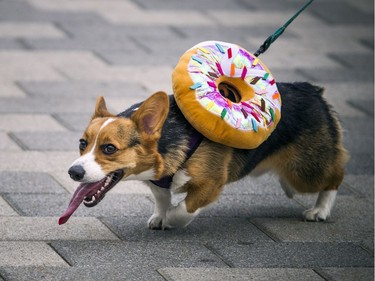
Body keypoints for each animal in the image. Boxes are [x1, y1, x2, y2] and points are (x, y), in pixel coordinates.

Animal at [58, 82, 350, 229]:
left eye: (109, 148)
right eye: (83, 143)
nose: (74, 172)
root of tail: (313, 91)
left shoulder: (211, 183)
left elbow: (184, 208)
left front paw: (170, 219)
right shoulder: (158, 182)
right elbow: (162, 197)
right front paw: (159, 215)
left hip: (305, 172)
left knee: (336, 175)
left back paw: (320, 211)